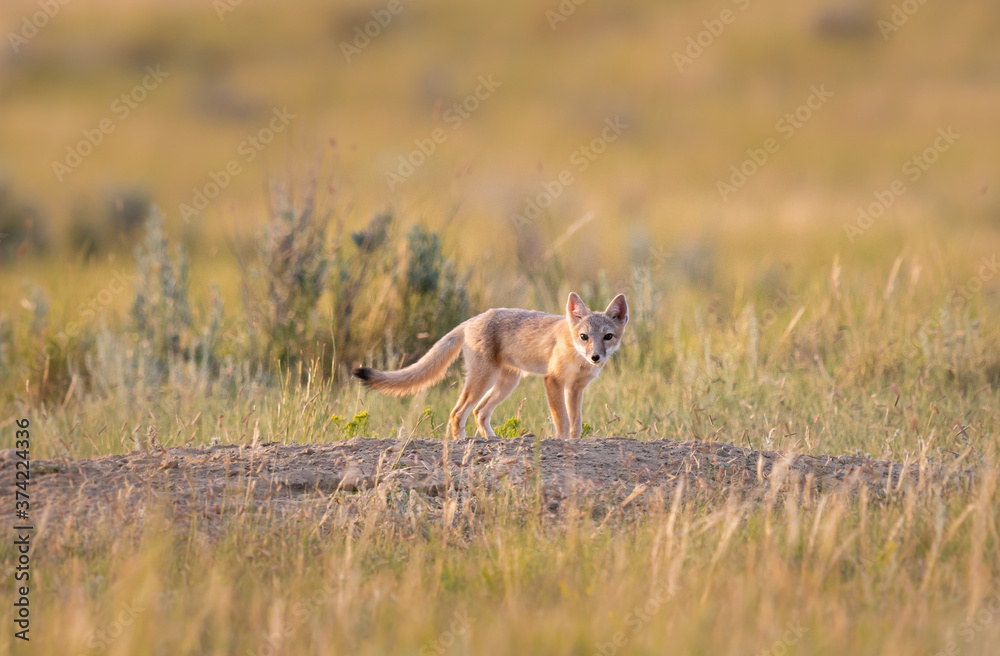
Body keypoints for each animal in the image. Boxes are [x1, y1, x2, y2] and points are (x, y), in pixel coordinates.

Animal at [352, 292, 628, 439]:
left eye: (607, 337)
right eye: (584, 337)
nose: (595, 357)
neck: (578, 359)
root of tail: (472, 319)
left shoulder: (575, 388)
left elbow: (576, 423)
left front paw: (574, 442)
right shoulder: (553, 381)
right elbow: (562, 420)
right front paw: (561, 442)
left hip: (506, 383)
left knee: (479, 412)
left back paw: (491, 439)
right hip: (484, 380)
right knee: (458, 412)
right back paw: (462, 442)